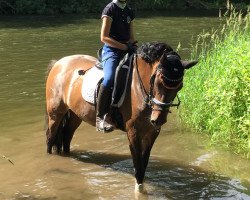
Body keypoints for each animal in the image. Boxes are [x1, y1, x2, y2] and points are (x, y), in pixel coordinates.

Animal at [45, 41, 197, 192]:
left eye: (180, 86)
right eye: (159, 82)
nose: (158, 119)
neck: (138, 87)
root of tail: (59, 63)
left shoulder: (152, 132)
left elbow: (144, 162)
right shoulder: (133, 131)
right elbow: (137, 164)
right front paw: (139, 191)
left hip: (76, 115)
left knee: (66, 137)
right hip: (55, 113)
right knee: (50, 137)